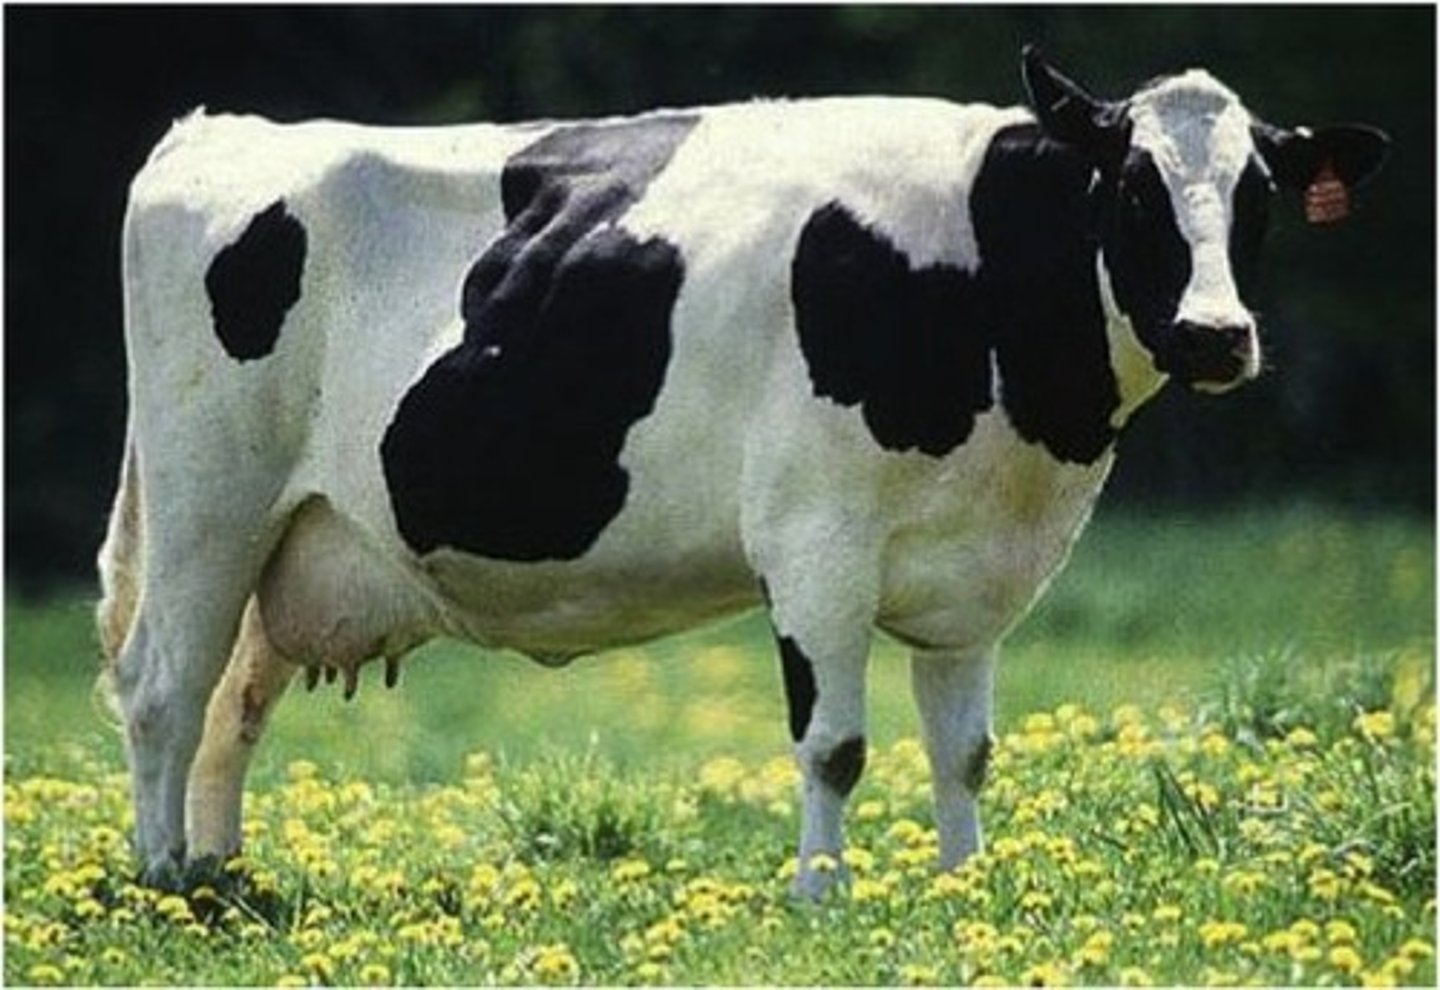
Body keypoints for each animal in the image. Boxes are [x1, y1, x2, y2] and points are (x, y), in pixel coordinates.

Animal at [98, 47, 1387, 897]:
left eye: (1260, 198)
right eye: (1131, 187)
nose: (1217, 336)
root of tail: (220, 129)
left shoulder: (973, 574)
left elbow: (964, 750)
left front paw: (965, 893)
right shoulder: (817, 545)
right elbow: (836, 745)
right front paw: (822, 899)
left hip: (294, 536)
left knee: (234, 704)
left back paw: (222, 878)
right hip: (208, 504)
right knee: (164, 687)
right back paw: (164, 882)